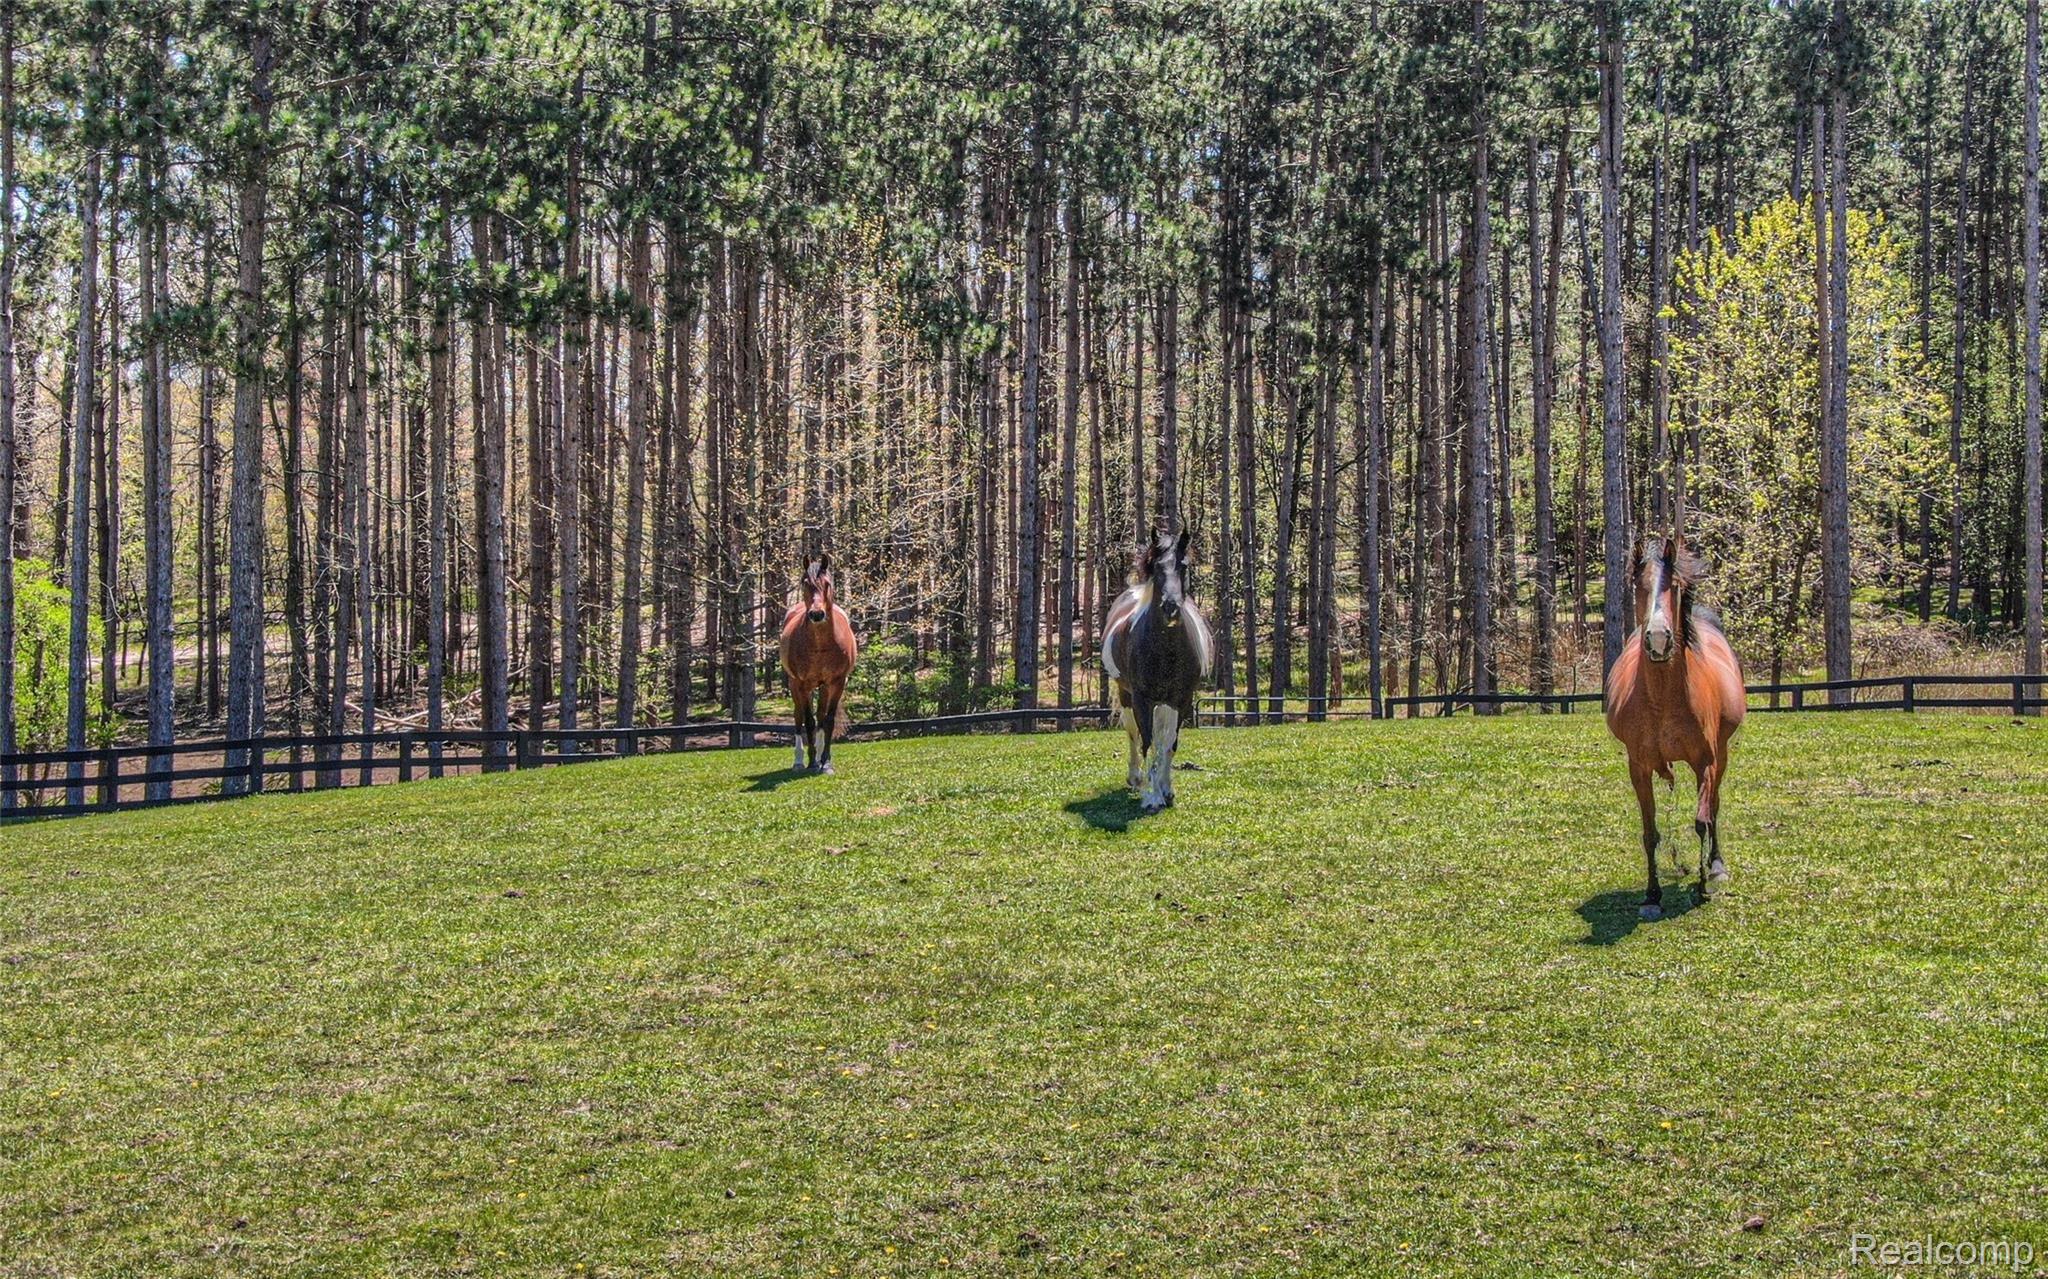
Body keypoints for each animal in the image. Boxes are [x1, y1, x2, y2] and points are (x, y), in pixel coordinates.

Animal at [779, 552, 858, 774]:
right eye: (805, 583)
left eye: (827, 583)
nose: (816, 614)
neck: (821, 645)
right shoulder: (802, 684)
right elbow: (808, 721)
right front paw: (813, 762)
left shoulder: (837, 682)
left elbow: (827, 720)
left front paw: (826, 763)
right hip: (795, 685)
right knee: (798, 718)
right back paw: (799, 762)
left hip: (823, 687)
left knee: (822, 717)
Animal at [1102, 528, 1214, 813]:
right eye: (1157, 568)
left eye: (1183, 566)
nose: (1170, 607)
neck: (1166, 650)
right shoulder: (1142, 700)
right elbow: (1147, 742)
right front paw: (1151, 797)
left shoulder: (1181, 700)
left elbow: (1169, 744)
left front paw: (1167, 791)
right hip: (1126, 695)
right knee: (1132, 733)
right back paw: (1136, 779)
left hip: (1164, 703)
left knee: (1162, 740)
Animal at [1604, 534, 1746, 920]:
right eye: (1637, 584)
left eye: (1677, 586)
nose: (1657, 638)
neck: (1662, 700)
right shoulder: (1638, 766)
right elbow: (1650, 832)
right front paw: (1652, 896)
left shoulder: (1705, 762)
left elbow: (1702, 821)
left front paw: (1702, 886)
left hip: (1722, 755)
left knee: (1714, 807)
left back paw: (1716, 866)